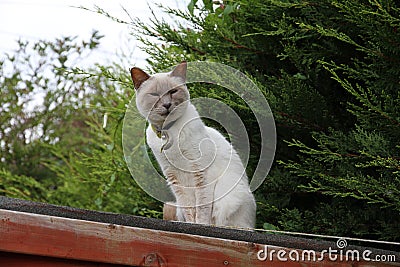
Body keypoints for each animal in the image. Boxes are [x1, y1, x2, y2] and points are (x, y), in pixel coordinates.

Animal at [131, 62, 256, 228]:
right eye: (155, 94)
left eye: (173, 92)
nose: (167, 104)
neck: (169, 131)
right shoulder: (175, 178)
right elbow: (189, 208)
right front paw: (191, 224)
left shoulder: (200, 174)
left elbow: (202, 209)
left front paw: (200, 225)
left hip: (230, 197)